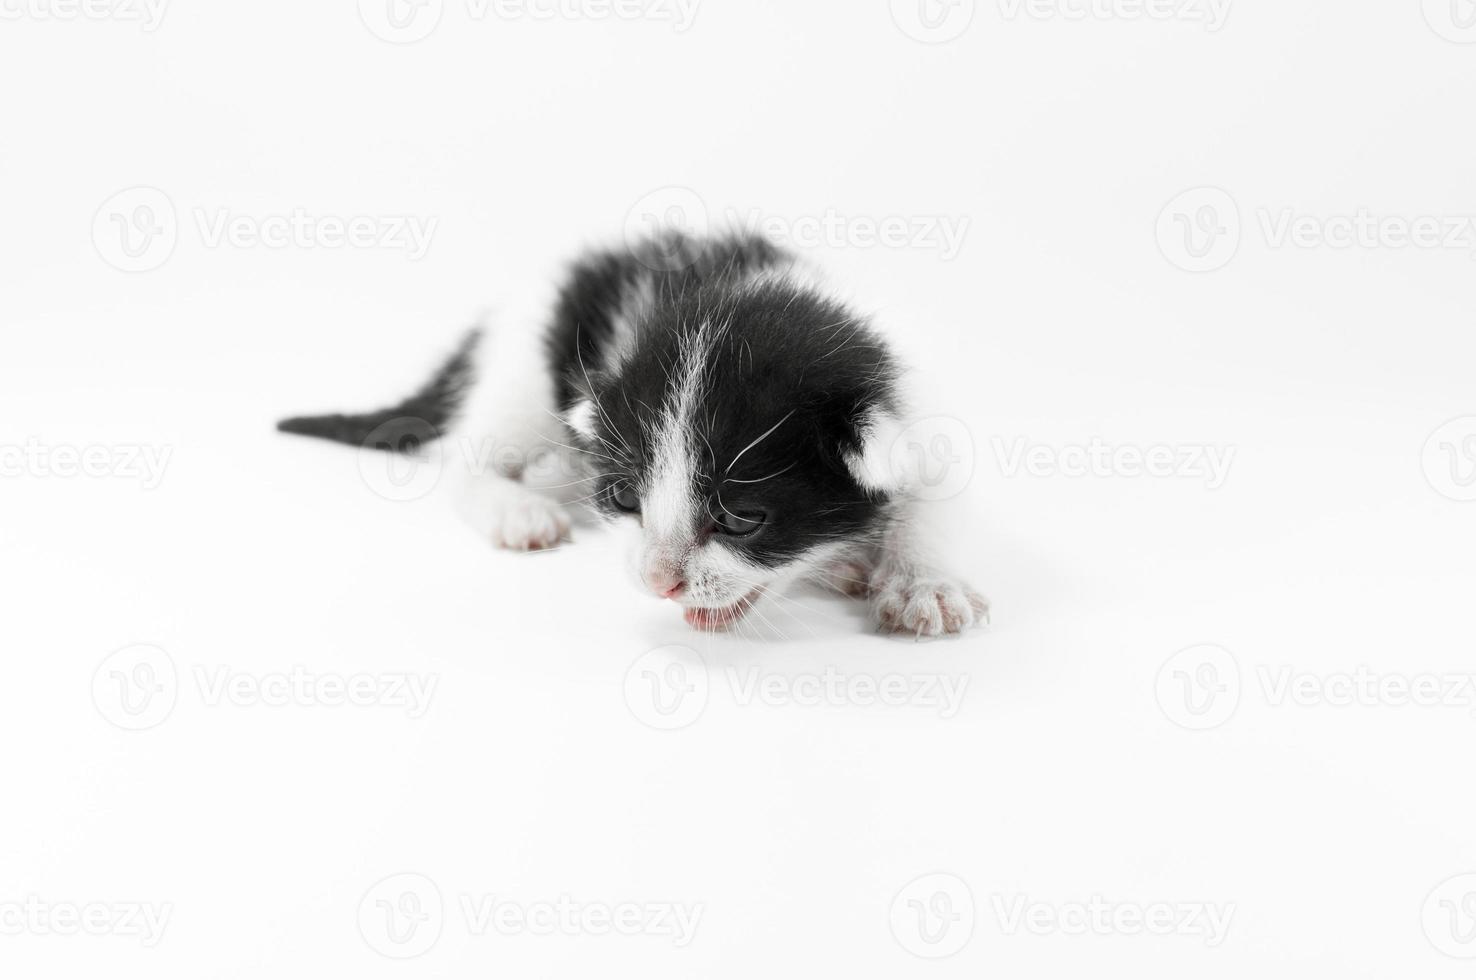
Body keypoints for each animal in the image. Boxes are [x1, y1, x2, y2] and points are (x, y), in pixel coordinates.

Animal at [280, 234, 985, 640]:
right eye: (626, 500)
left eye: (742, 519)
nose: (657, 580)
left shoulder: (920, 401)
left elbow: (935, 487)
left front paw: (923, 580)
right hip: (525, 374)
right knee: (472, 460)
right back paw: (520, 506)